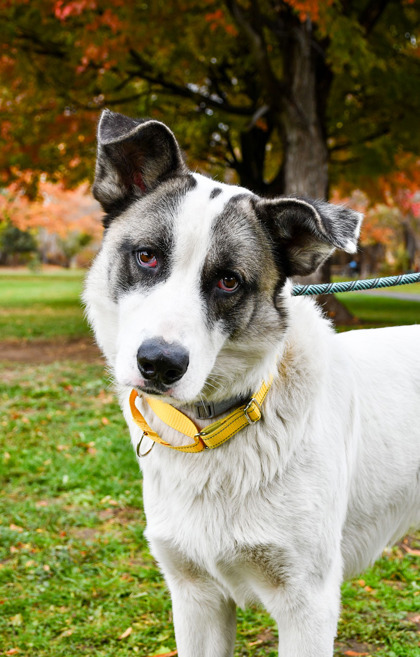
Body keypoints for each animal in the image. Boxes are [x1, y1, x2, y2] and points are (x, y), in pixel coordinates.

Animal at [83, 110, 420, 652]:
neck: (217, 425)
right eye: (148, 256)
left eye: (228, 281)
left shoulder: (308, 606)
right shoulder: (196, 596)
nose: (159, 363)